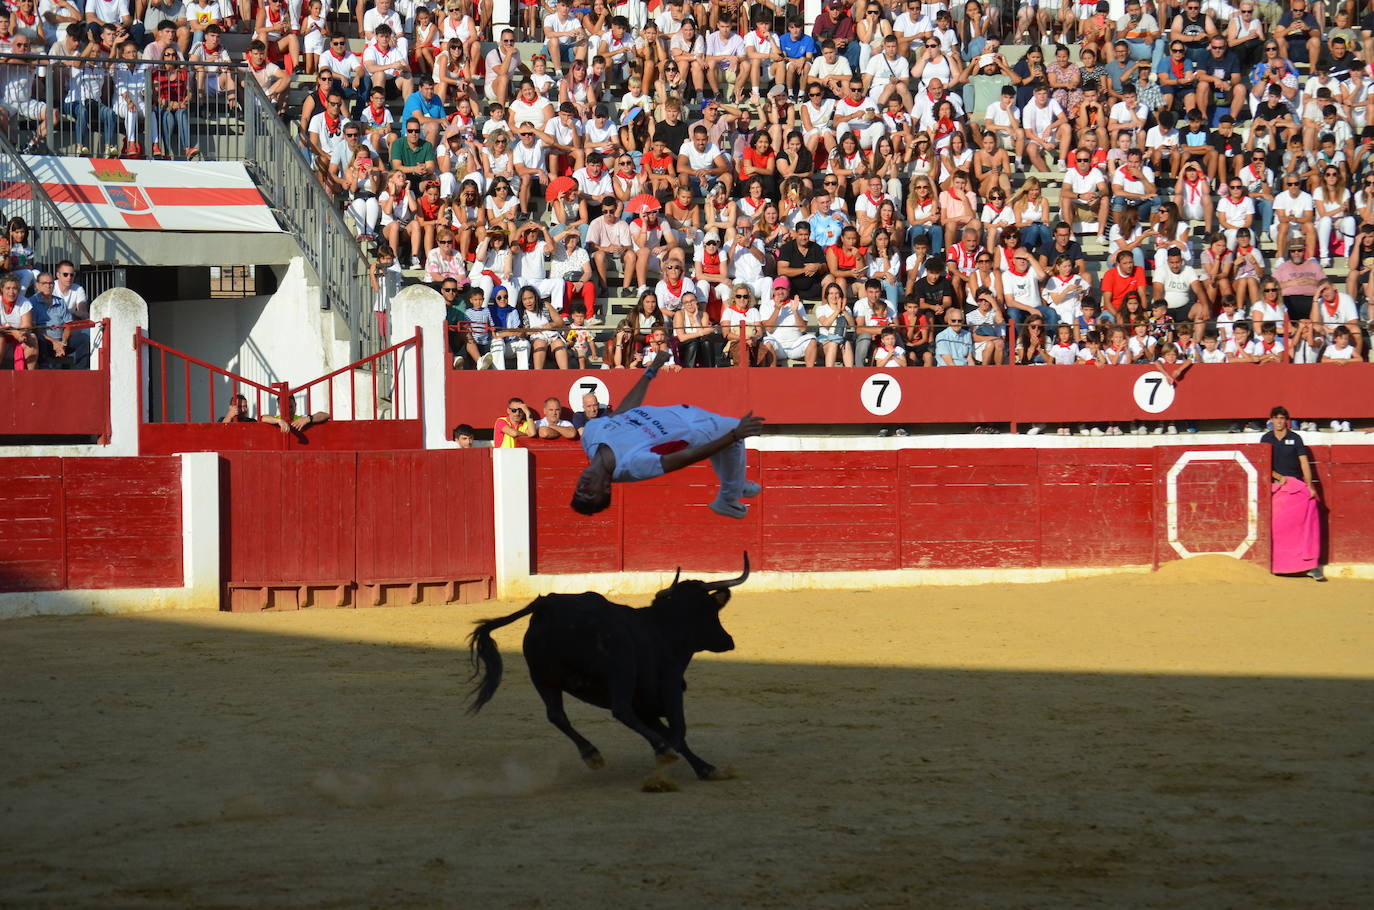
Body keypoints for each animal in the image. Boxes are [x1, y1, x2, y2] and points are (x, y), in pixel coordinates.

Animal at [469, 552, 752, 780]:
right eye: (712, 611)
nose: (728, 641)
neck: (661, 628)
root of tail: (546, 605)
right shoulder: (670, 686)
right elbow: (678, 730)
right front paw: (671, 759)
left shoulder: (646, 706)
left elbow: (672, 733)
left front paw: (704, 768)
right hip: (621, 668)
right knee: (620, 710)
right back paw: (658, 751)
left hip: (542, 677)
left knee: (557, 715)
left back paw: (592, 754)